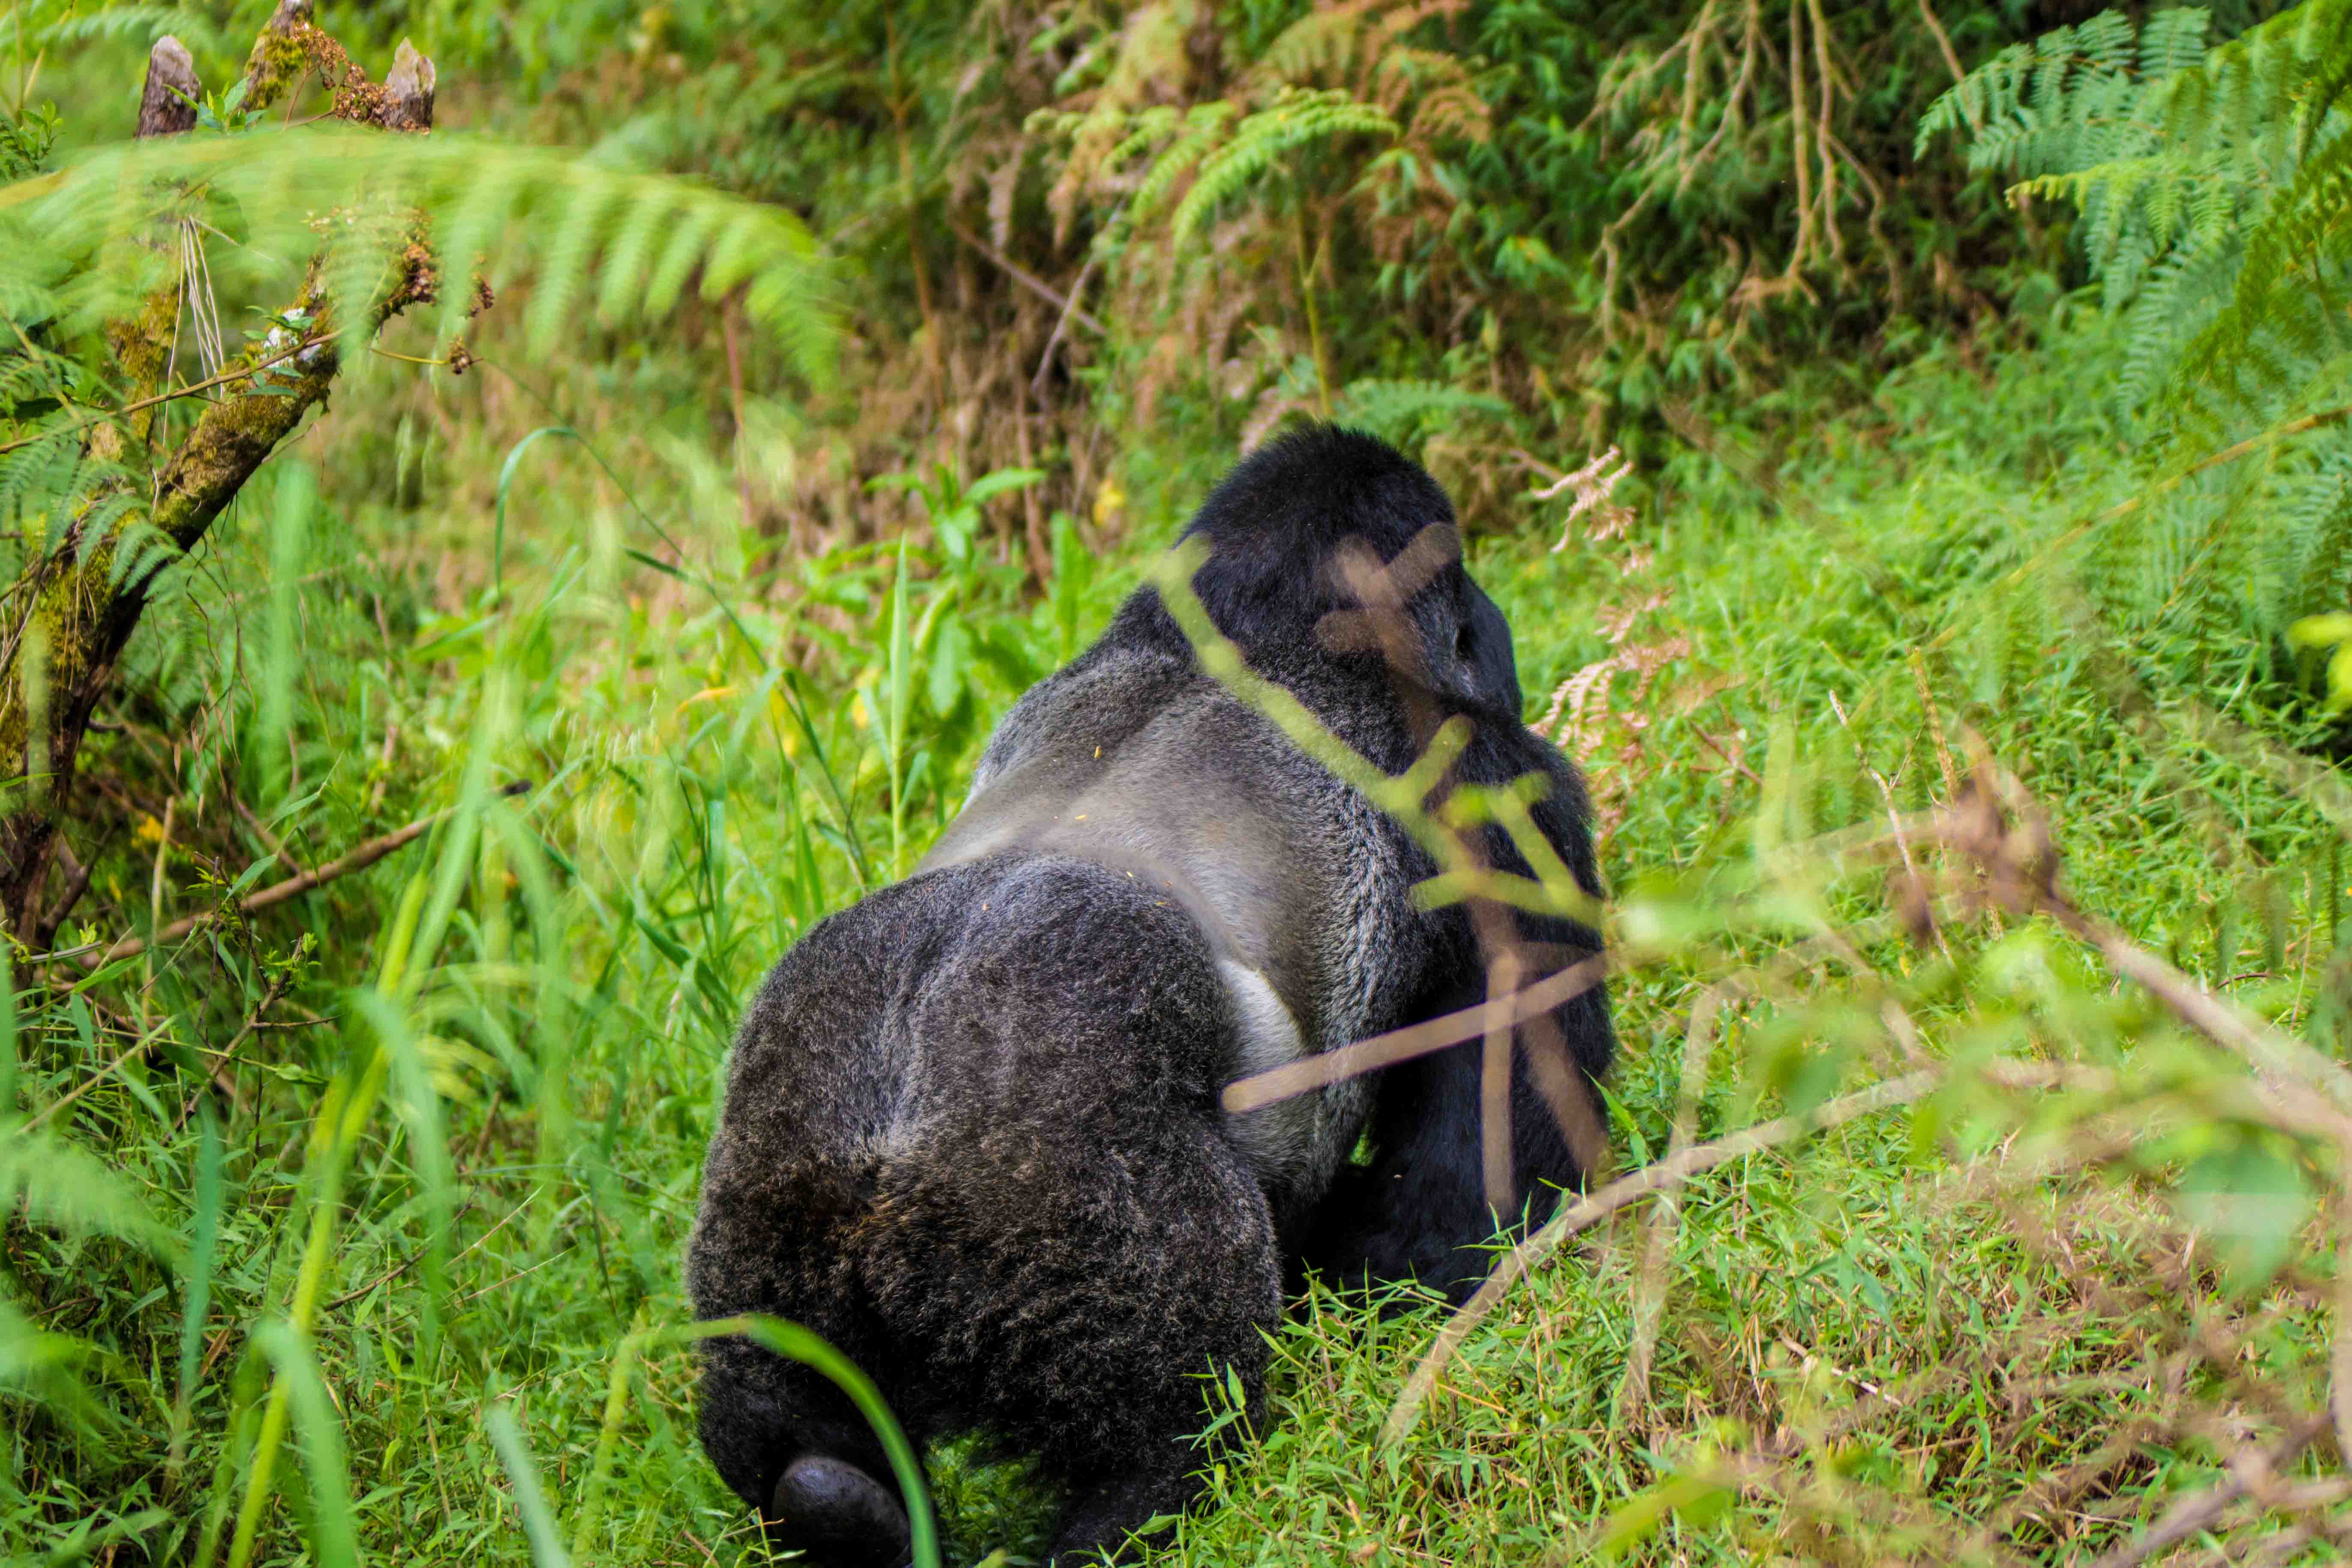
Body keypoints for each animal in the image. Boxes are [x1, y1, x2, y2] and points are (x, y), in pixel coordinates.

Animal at [685, 426, 1613, 1567]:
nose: (1498, 631)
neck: (1251, 629)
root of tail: (882, 1145)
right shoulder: (1490, 781)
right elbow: (1467, 1182)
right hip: (1065, 1208)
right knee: (1177, 1424)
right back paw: (1122, 1505)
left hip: (766, 1224)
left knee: (778, 1418)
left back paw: (831, 1501)